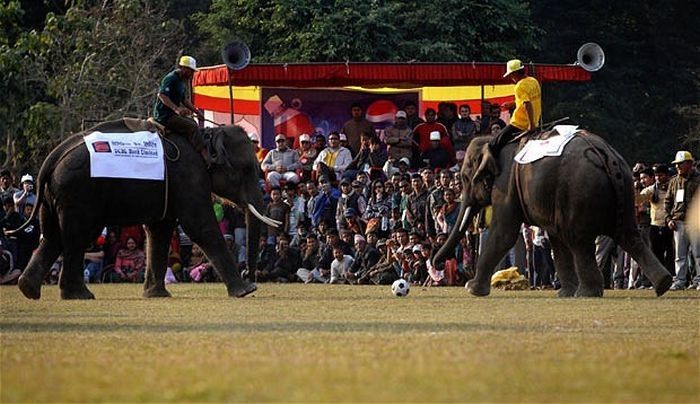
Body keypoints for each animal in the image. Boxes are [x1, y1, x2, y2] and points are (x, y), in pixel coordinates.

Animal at [17, 118, 278, 298]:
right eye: (247, 169)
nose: (250, 276)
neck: (206, 136)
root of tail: (52, 157)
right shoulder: (189, 176)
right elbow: (199, 226)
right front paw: (244, 291)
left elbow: (159, 230)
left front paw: (156, 295)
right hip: (78, 192)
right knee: (76, 236)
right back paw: (79, 295)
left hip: (54, 194)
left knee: (53, 236)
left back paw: (28, 289)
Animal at [438, 133, 672, 296]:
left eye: (465, 178)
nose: (439, 263)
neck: (494, 141)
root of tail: (606, 156)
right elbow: (555, 239)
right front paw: (564, 293)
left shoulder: (506, 186)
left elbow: (504, 233)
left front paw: (471, 289)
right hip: (623, 190)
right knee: (629, 236)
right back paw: (663, 284)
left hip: (579, 194)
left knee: (579, 242)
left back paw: (587, 293)